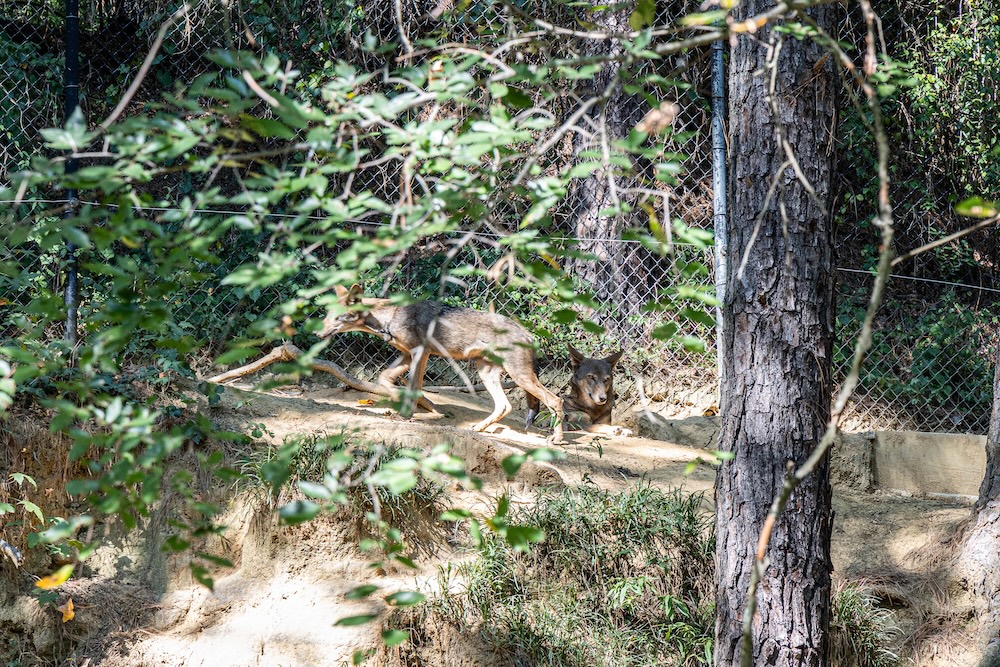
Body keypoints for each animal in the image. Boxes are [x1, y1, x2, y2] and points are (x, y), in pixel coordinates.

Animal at [319, 284, 564, 444]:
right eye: (327, 315)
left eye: (337, 317)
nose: (316, 332)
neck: (389, 317)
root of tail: (527, 333)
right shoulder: (407, 354)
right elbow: (385, 379)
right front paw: (402, 401)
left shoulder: (420, 352)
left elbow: (413, 386)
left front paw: (408, 413)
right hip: (488, 374)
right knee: (505, 406)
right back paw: (479, 428)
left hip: (519, 377)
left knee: (555, 400)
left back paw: (557, 439)